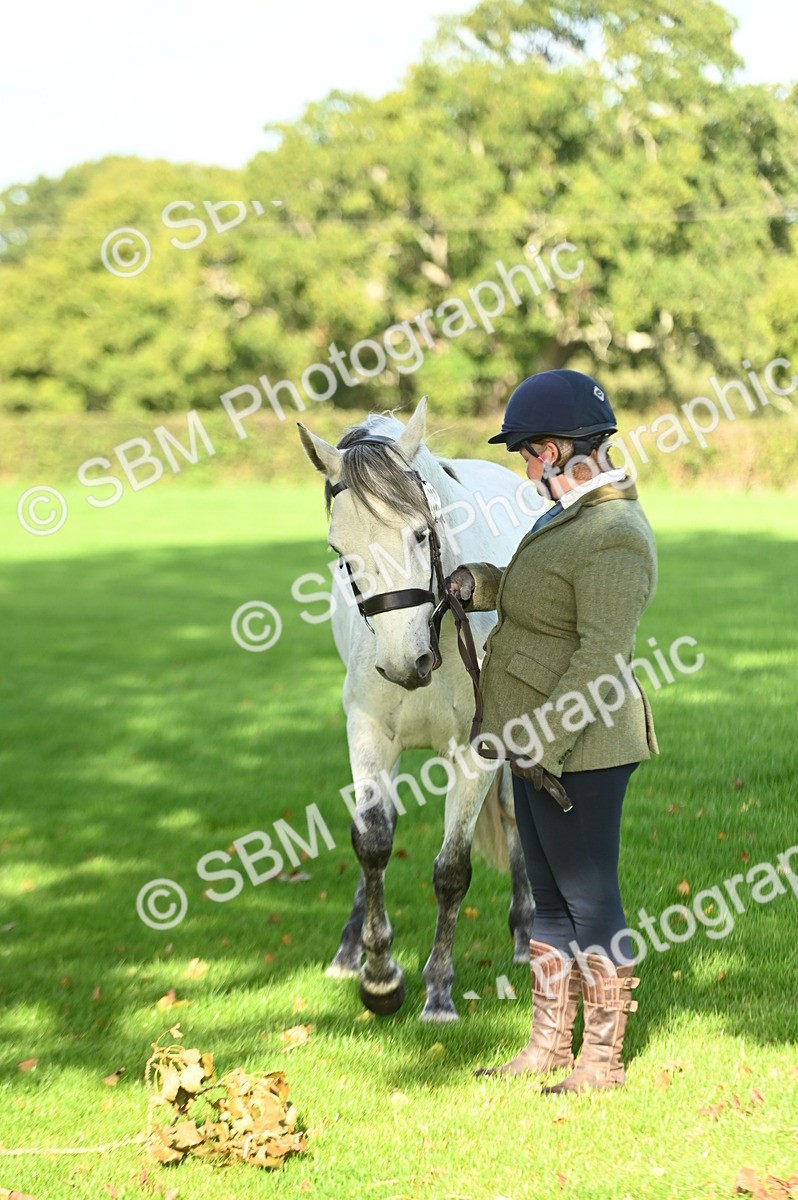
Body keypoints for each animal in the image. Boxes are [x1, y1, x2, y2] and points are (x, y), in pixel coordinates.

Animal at [298, 397, 545, 1022]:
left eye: (419, 533)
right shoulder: (368, 731)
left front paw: (438, 989)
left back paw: (525, 932)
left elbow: (452, 870)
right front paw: (379, 976)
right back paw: (349, 949)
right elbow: (373, 841)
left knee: (514, 815)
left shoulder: (482, 749)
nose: (403, 661)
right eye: (339, 553)